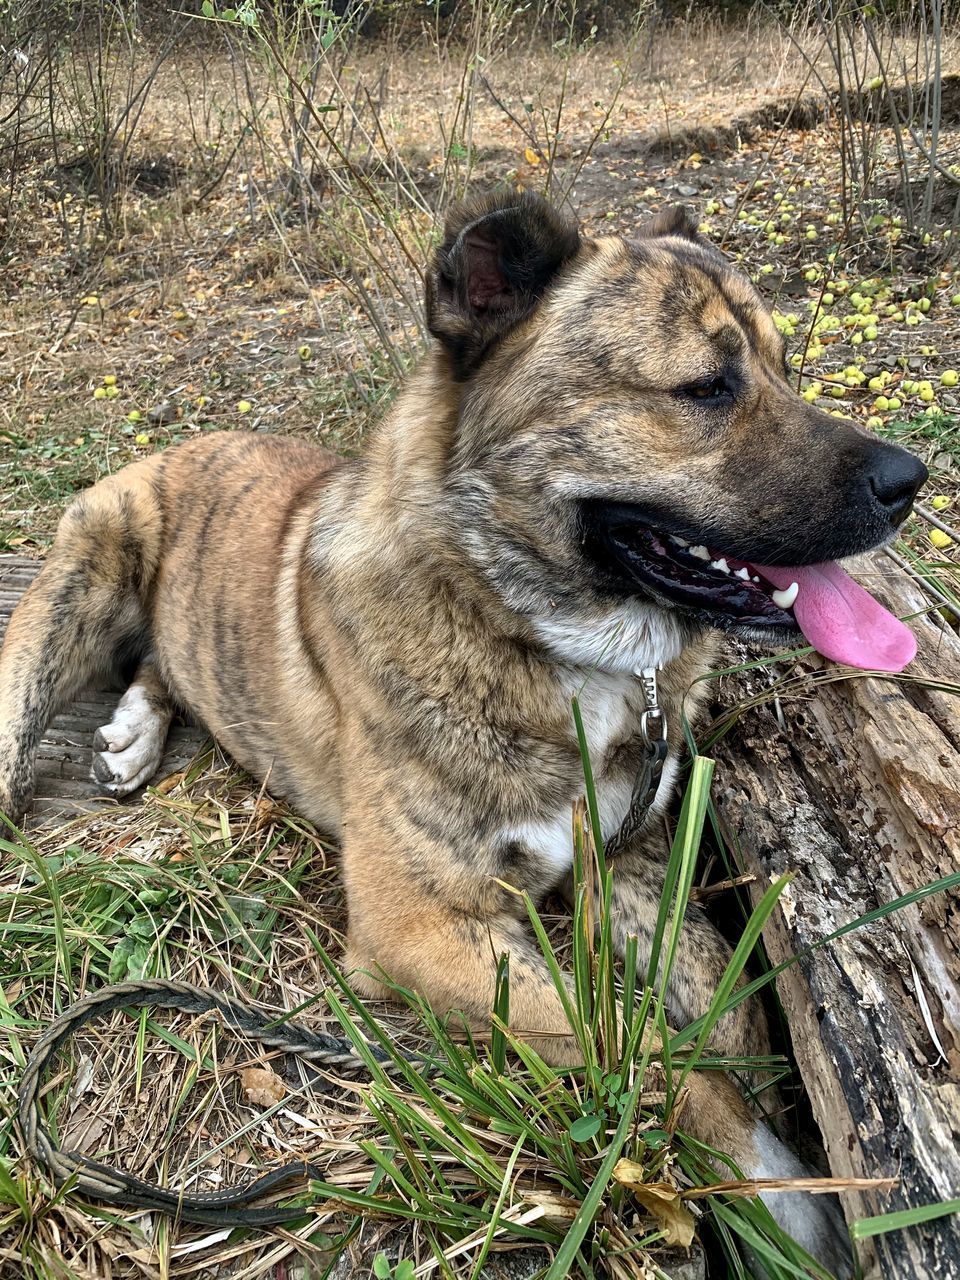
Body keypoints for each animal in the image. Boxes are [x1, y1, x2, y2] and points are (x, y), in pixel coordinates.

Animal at [1, 189, 931, 1269]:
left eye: (786, 366)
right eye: (705, 387)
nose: (911, 481)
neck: (533, 627)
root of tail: (189, 442)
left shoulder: (633, 867)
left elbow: (721, 1017)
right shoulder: (423, 929)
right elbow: (644, 1048)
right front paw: (774, 1186)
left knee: (159, 663)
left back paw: (135, 731)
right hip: (84, 576)